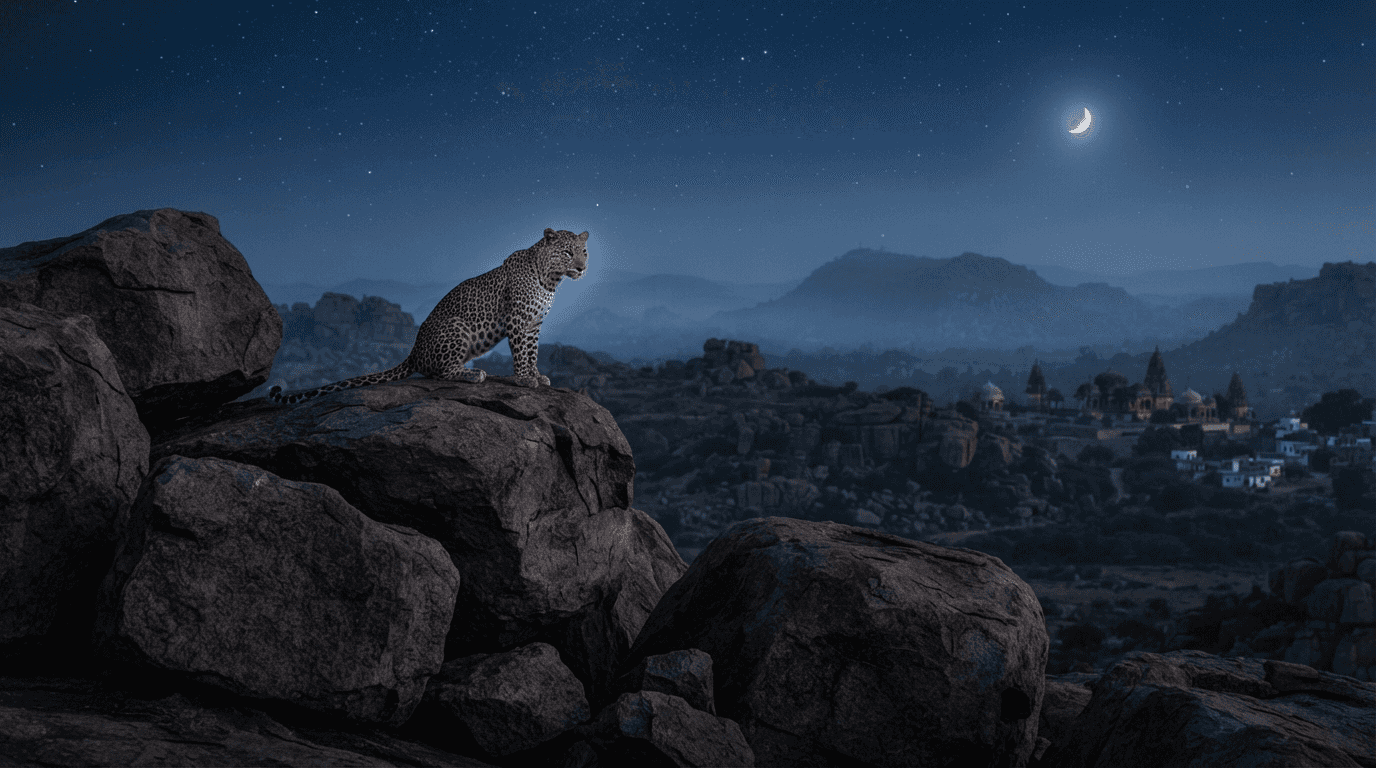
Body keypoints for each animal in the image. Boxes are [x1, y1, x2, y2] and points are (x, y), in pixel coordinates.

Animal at [269, 228, 588, 404]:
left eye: (583, 251)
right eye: (567, 252)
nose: (582, 267)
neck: (551, 281)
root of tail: (413, 351)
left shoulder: (534, 324)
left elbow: (532, 352)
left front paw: (536, 376)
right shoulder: (518, 320)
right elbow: (521, 353)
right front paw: (523, 379)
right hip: (456, 326)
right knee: (440, 371)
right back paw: (472, 374)